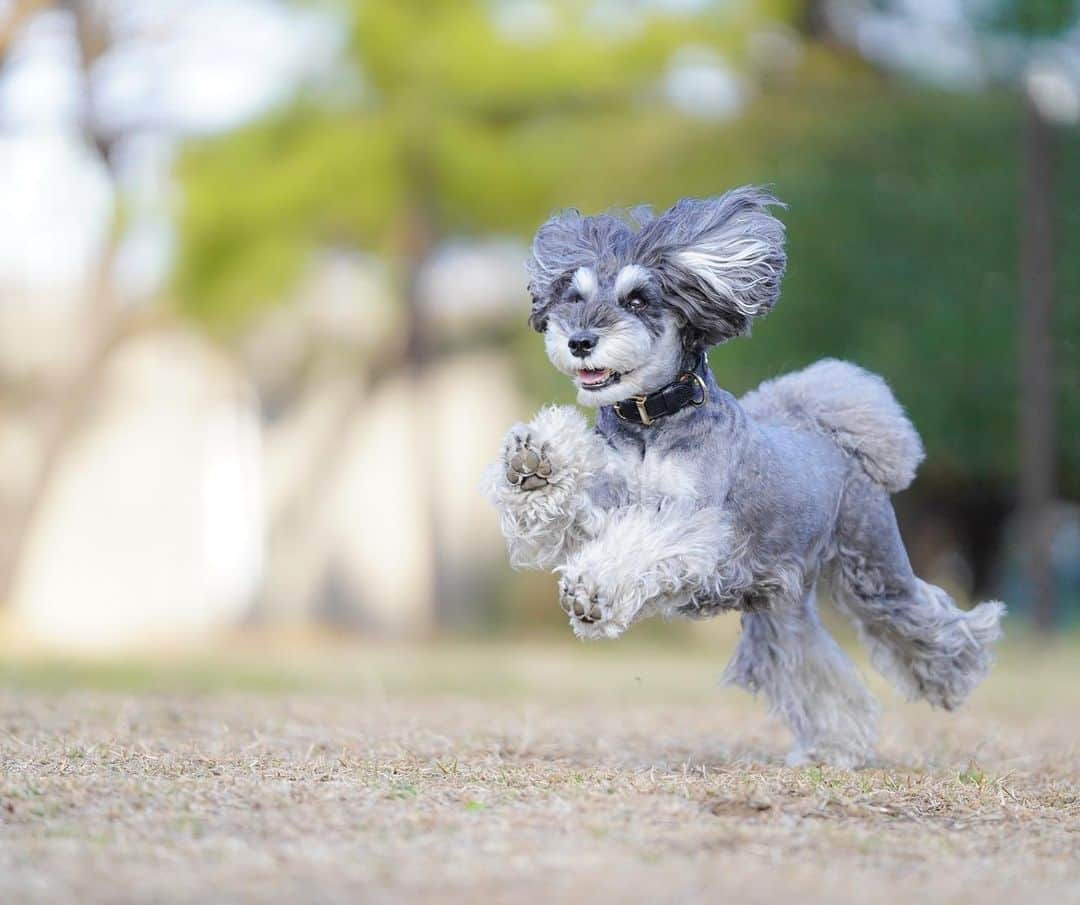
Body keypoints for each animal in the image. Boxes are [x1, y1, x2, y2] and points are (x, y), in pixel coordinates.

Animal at [483, 187, 1002, 768]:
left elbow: (641, 546)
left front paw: (594, 591)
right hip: (778, 605)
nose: (579, 341)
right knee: (807, 664)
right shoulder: (603, 508)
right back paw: (832, 745)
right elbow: (566, 513)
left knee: (921, 621)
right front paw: (536, 463)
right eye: (573, 296)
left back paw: (959, 673)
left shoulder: (690, 525)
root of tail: (833, 437)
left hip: (873, 569)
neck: (650, 420)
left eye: (638, 300)